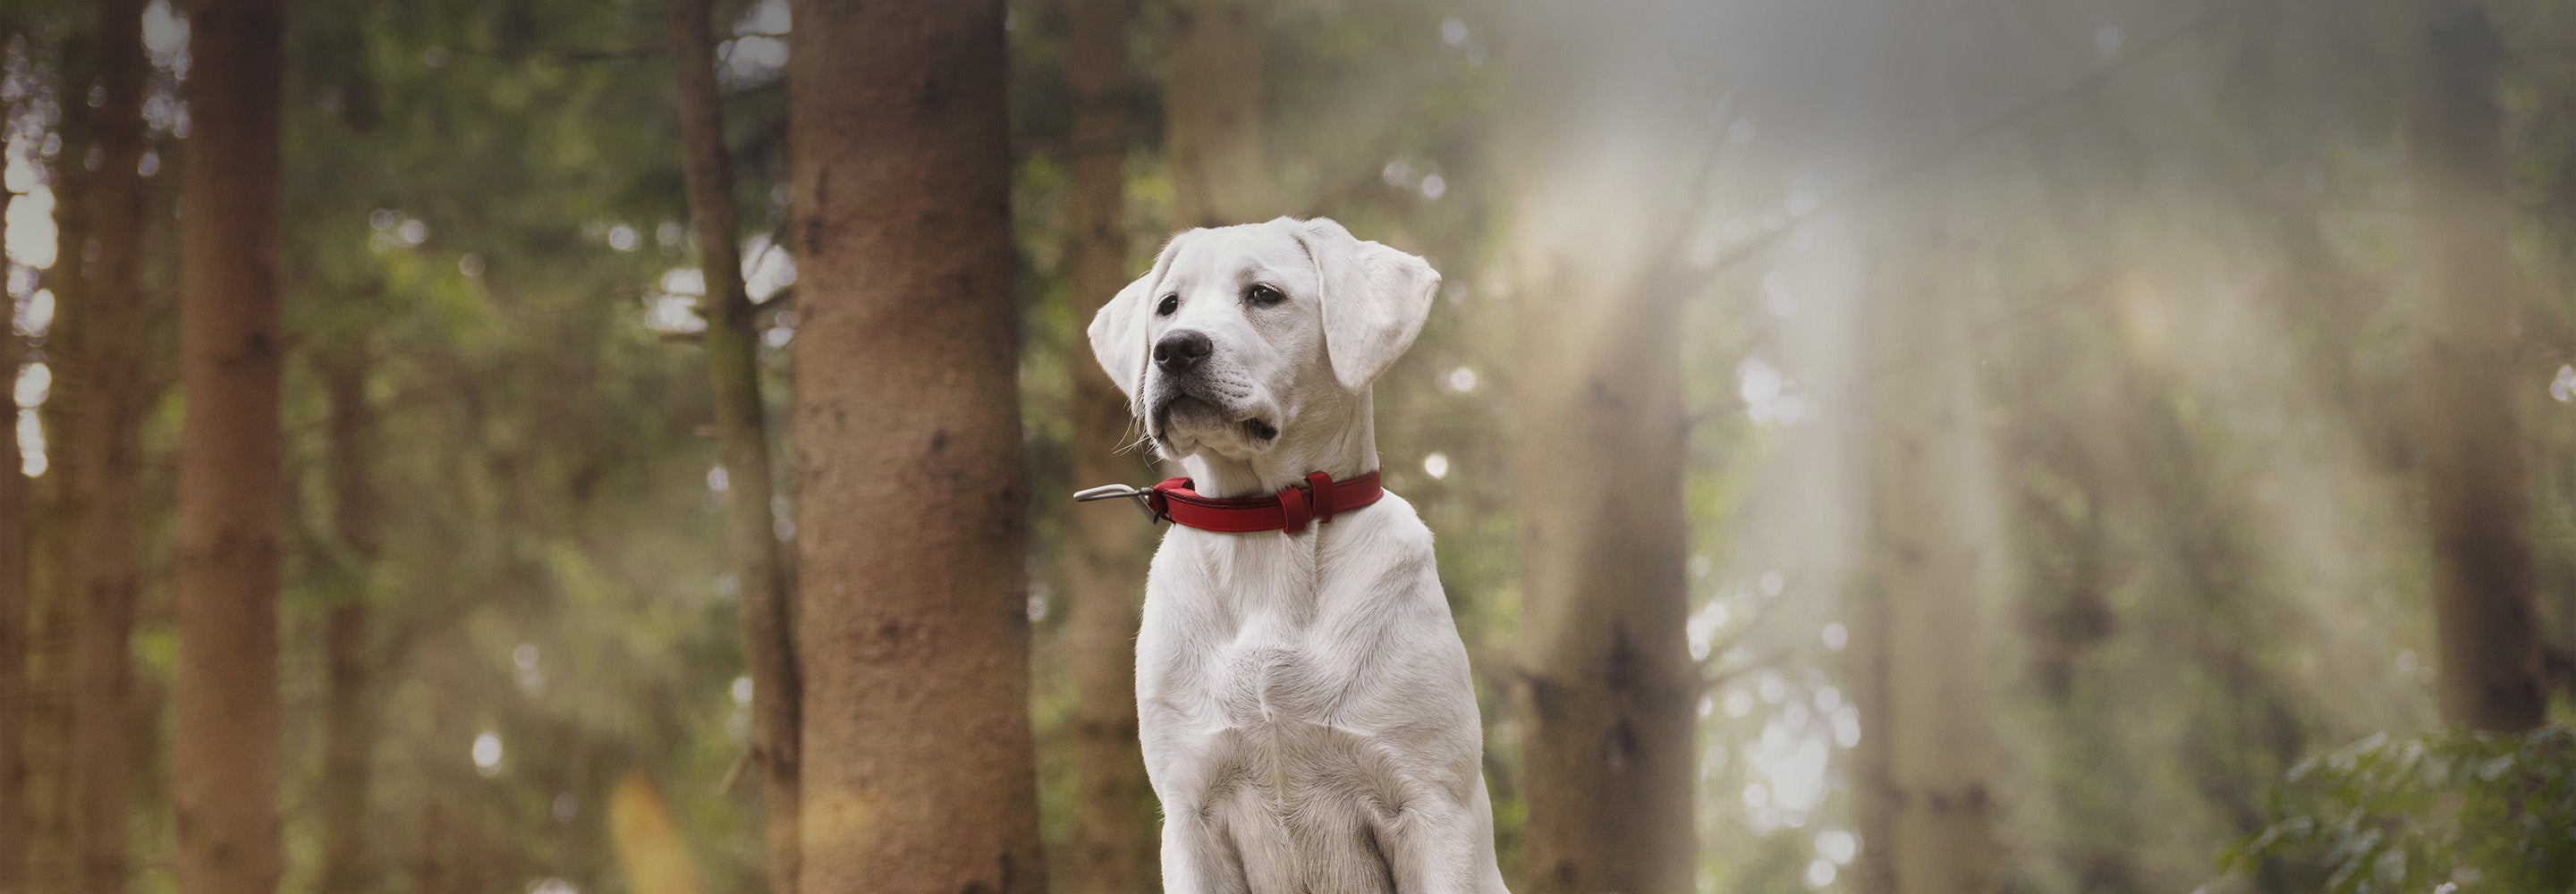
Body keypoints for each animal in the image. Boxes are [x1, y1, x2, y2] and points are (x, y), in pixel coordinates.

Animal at [1081, 217, 1504, 894]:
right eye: (1168, 305)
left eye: (1264, 295)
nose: (1175, 348)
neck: (1266, 528)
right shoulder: (1191, 815)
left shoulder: (1433, 806)